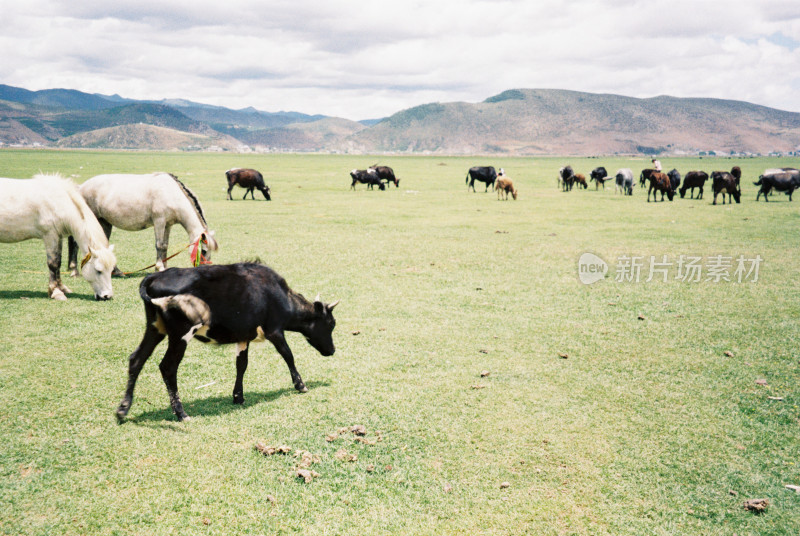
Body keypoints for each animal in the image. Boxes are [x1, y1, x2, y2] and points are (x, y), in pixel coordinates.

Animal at [67, 172, 217, 274]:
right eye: (203, 250)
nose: (205, 270)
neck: (171, 194)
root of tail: (81, 187)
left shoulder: (168, 224)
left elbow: (165, 246)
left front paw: (165, 267)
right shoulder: (159, 221)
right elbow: (159, 245)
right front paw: (159, 267)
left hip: (104, 222)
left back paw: (116, 271)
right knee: (75, 242)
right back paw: (74, 270)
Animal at [115, 262, 338, 420]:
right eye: (331, 324)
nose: (332, 350)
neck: (279, 295)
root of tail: (154, 276)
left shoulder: (244, 336)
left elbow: (241, 365)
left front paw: (238, 396)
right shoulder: (274, 330)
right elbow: (288, 355)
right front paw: (300, 385)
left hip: (155, 328)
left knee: (137, 359)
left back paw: (123, 409)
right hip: (180, 334)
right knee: (168, 367)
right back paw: (181, 413)